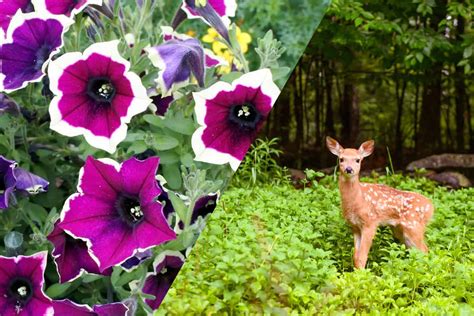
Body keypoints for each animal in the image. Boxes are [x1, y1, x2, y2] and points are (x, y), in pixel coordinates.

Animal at [326, 136, 434, 270]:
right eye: (341, 159)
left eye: (358, 160)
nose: (349, 169)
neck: (358, 201)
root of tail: (431, 207)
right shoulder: (355, 226)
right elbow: (355, 257)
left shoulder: (370, 222)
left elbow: (362, 257)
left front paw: (362, 274)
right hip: (400, 230)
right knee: (416, 251)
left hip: (414, 226)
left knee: (424, 250)